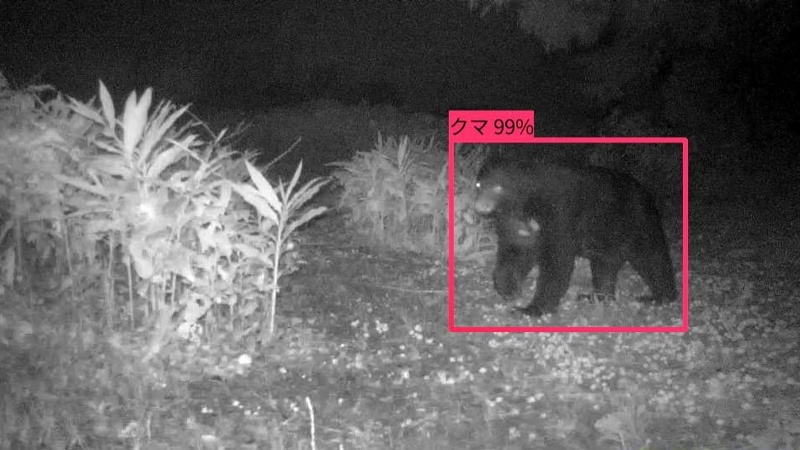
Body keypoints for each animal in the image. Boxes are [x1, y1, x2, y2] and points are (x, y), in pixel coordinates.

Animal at [474, 156, 677, 317]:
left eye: (498, 187)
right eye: (479, 185)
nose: (479, 206)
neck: (526, 203)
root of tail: (646, 193)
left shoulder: (559, 213)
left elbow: (558, 260)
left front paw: (532, 308)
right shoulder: (514, 221)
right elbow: (516, 250)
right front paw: (510, 288)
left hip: (638, 223)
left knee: (653, 259)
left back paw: (660, 297)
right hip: (606, 237)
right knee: (604, 266)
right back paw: (595, 296)